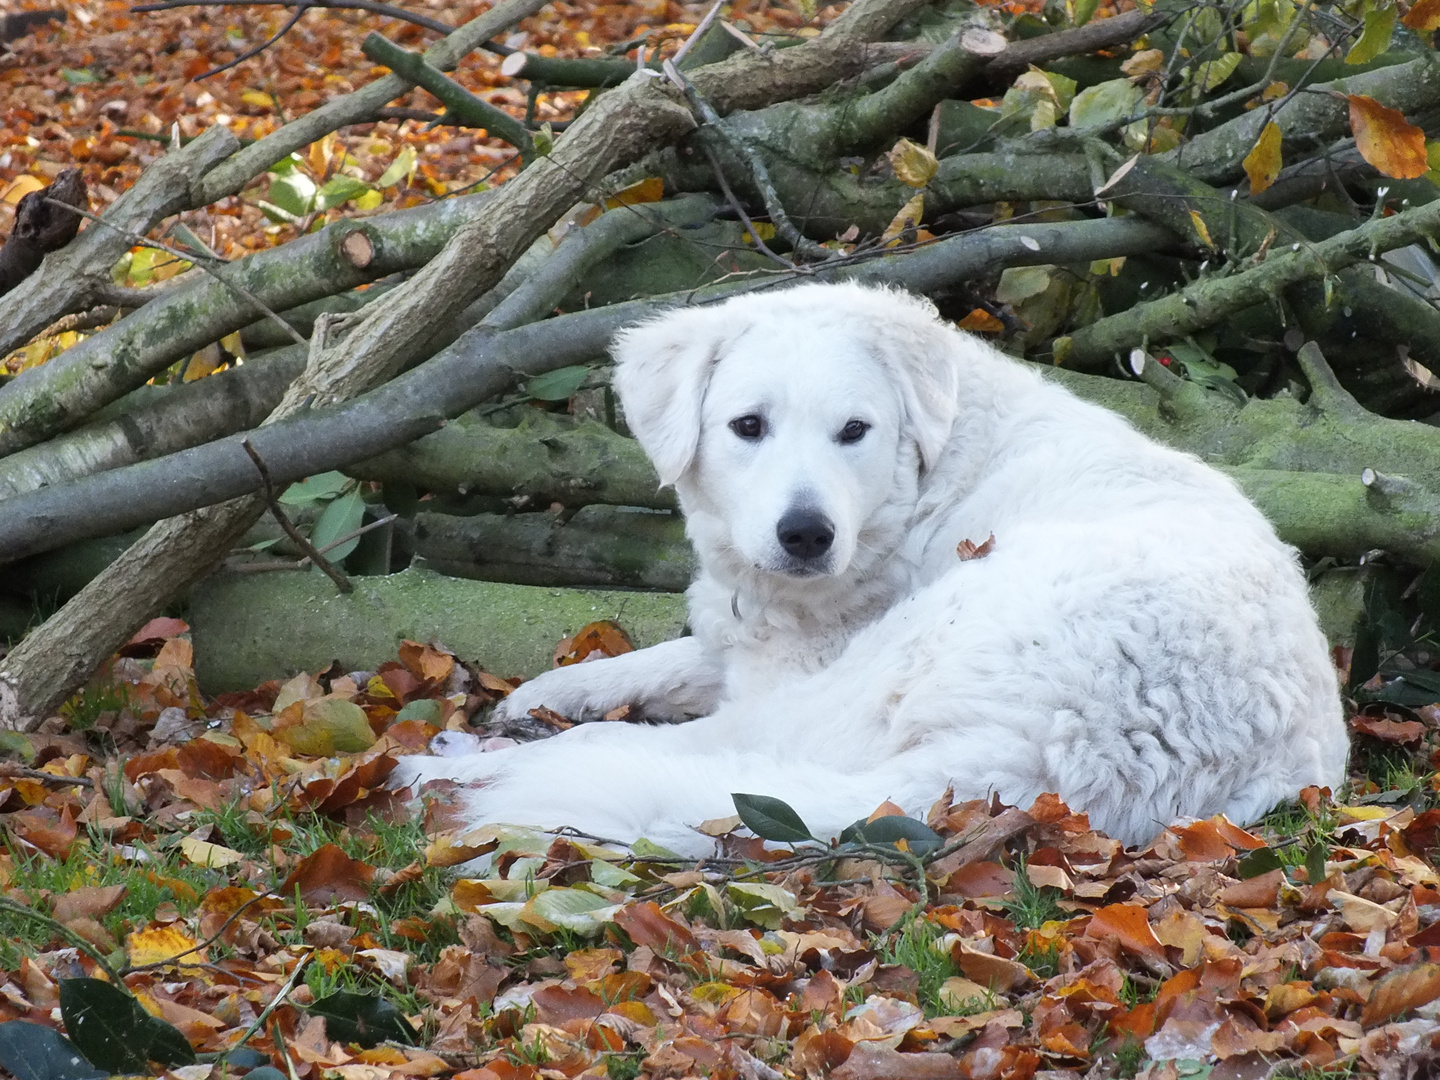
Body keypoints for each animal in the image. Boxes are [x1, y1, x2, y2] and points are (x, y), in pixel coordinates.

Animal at [391, 285, 1336, 852]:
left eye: (854, 431)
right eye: (748, 427)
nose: (805, 534)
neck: (921, 485)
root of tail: (1049, 771)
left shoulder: (799, 668)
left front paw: (515, 728)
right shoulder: (756, 640)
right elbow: (670, 654)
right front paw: (550, 689)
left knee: (650, 754)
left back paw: (442, 767)